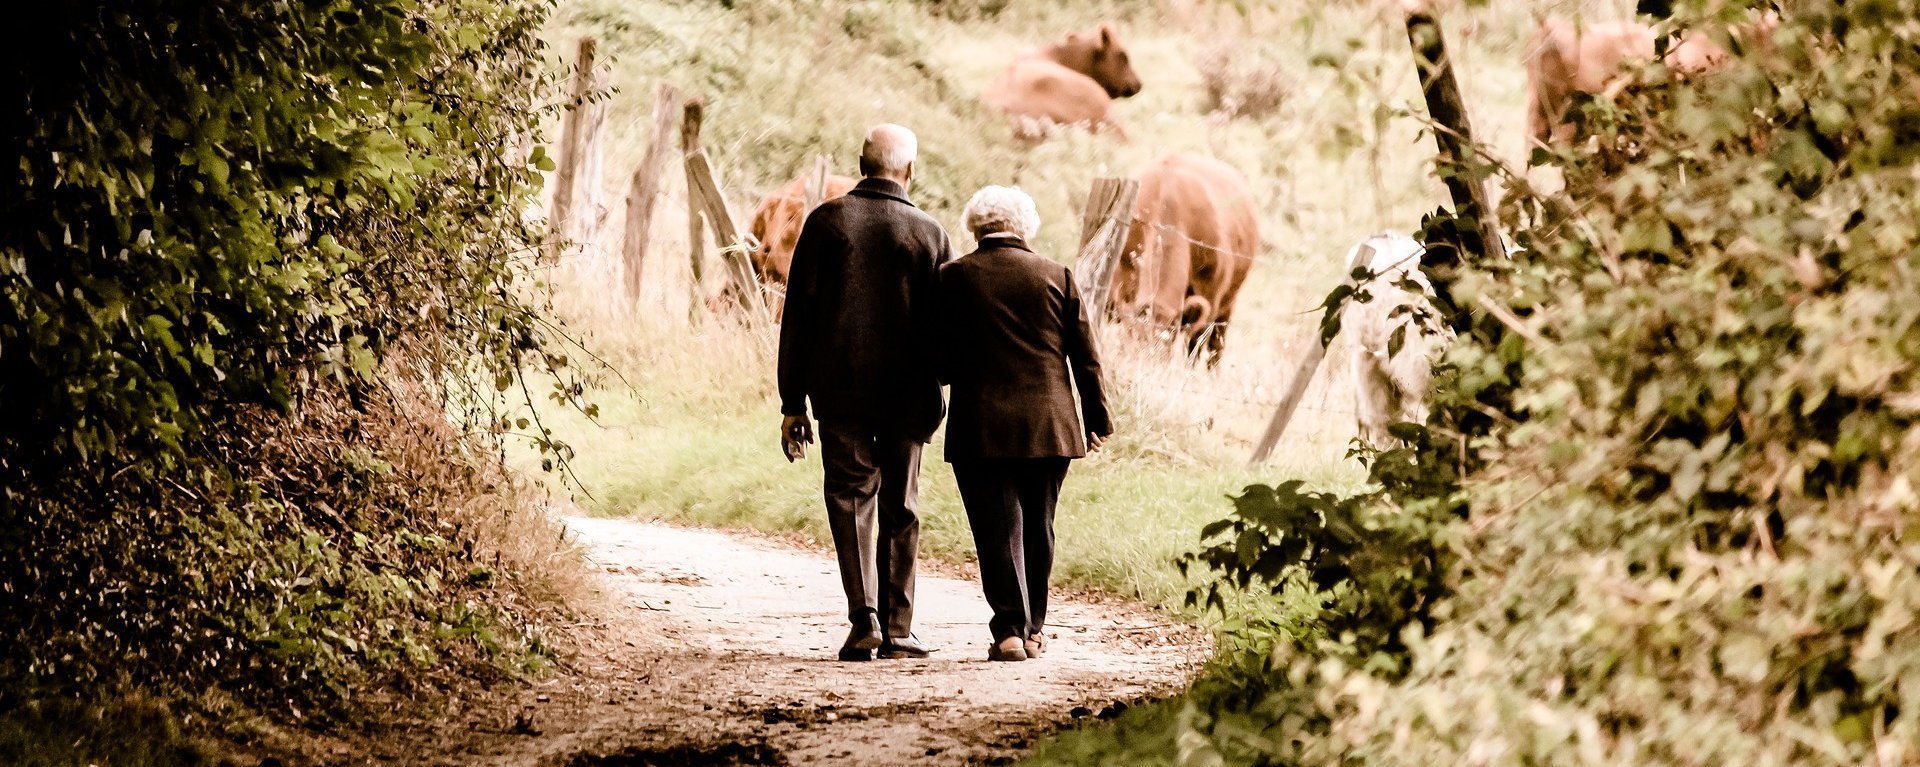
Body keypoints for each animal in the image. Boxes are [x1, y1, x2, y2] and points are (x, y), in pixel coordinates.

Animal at [1113, 152, 1259, 367]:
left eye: (1164, 345)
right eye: (1133, 340)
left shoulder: (1210, 296)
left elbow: (1195, 345)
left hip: (1228, 304)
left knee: (1216, 346)